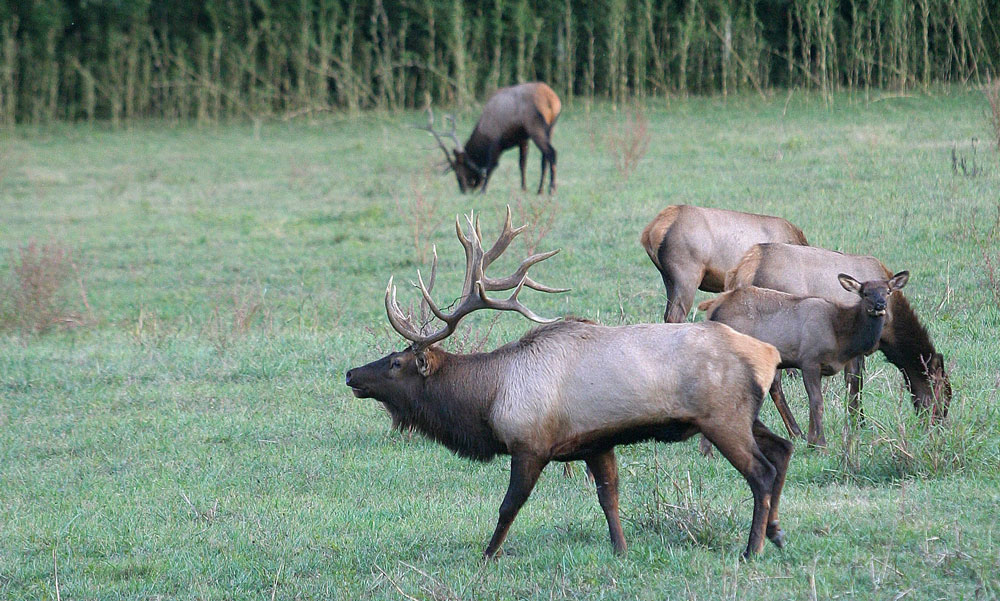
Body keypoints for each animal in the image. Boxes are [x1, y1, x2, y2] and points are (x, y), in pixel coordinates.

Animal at [345, 207, 792, 559]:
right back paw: (776, 532)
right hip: (744, 415)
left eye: (396, 362)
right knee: (783, 449)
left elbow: (509, 506)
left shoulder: (530, 445)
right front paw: (621, 550)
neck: (489, 398)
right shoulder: (595, 443)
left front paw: (488, 554)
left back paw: (752, 549)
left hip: (722, 417)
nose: (351, 374)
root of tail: (768, 354)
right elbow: (609, 499)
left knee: (762, 471)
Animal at [418, 82, 560, 194]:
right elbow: (522, 164)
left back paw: (552, 189)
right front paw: (523, 188)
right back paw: (540, 190)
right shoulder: (523, 139)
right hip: (550, 129)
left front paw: (483, 190)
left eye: (458, 172)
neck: (483, 131)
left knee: (551, 152)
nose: (463, 190)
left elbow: (491, 165)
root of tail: (552, 100)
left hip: (535, 127)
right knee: (544, 159)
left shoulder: (495, 139)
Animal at [699, 272, 910, 447]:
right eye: (865, 293)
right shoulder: (810, 360)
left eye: (888, 292)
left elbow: (813, 403)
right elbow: (817, 402)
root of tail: (713, 306)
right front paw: (821, 444)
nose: (880, 305)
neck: (839, 335)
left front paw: (811, 442)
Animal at [726, 243, 952, 425]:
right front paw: (859, 423)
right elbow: (855, 384)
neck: (890, 332)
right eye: (944, 394)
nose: (939, 425)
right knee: (773, 384)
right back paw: (796, 432)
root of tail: (743, 272)